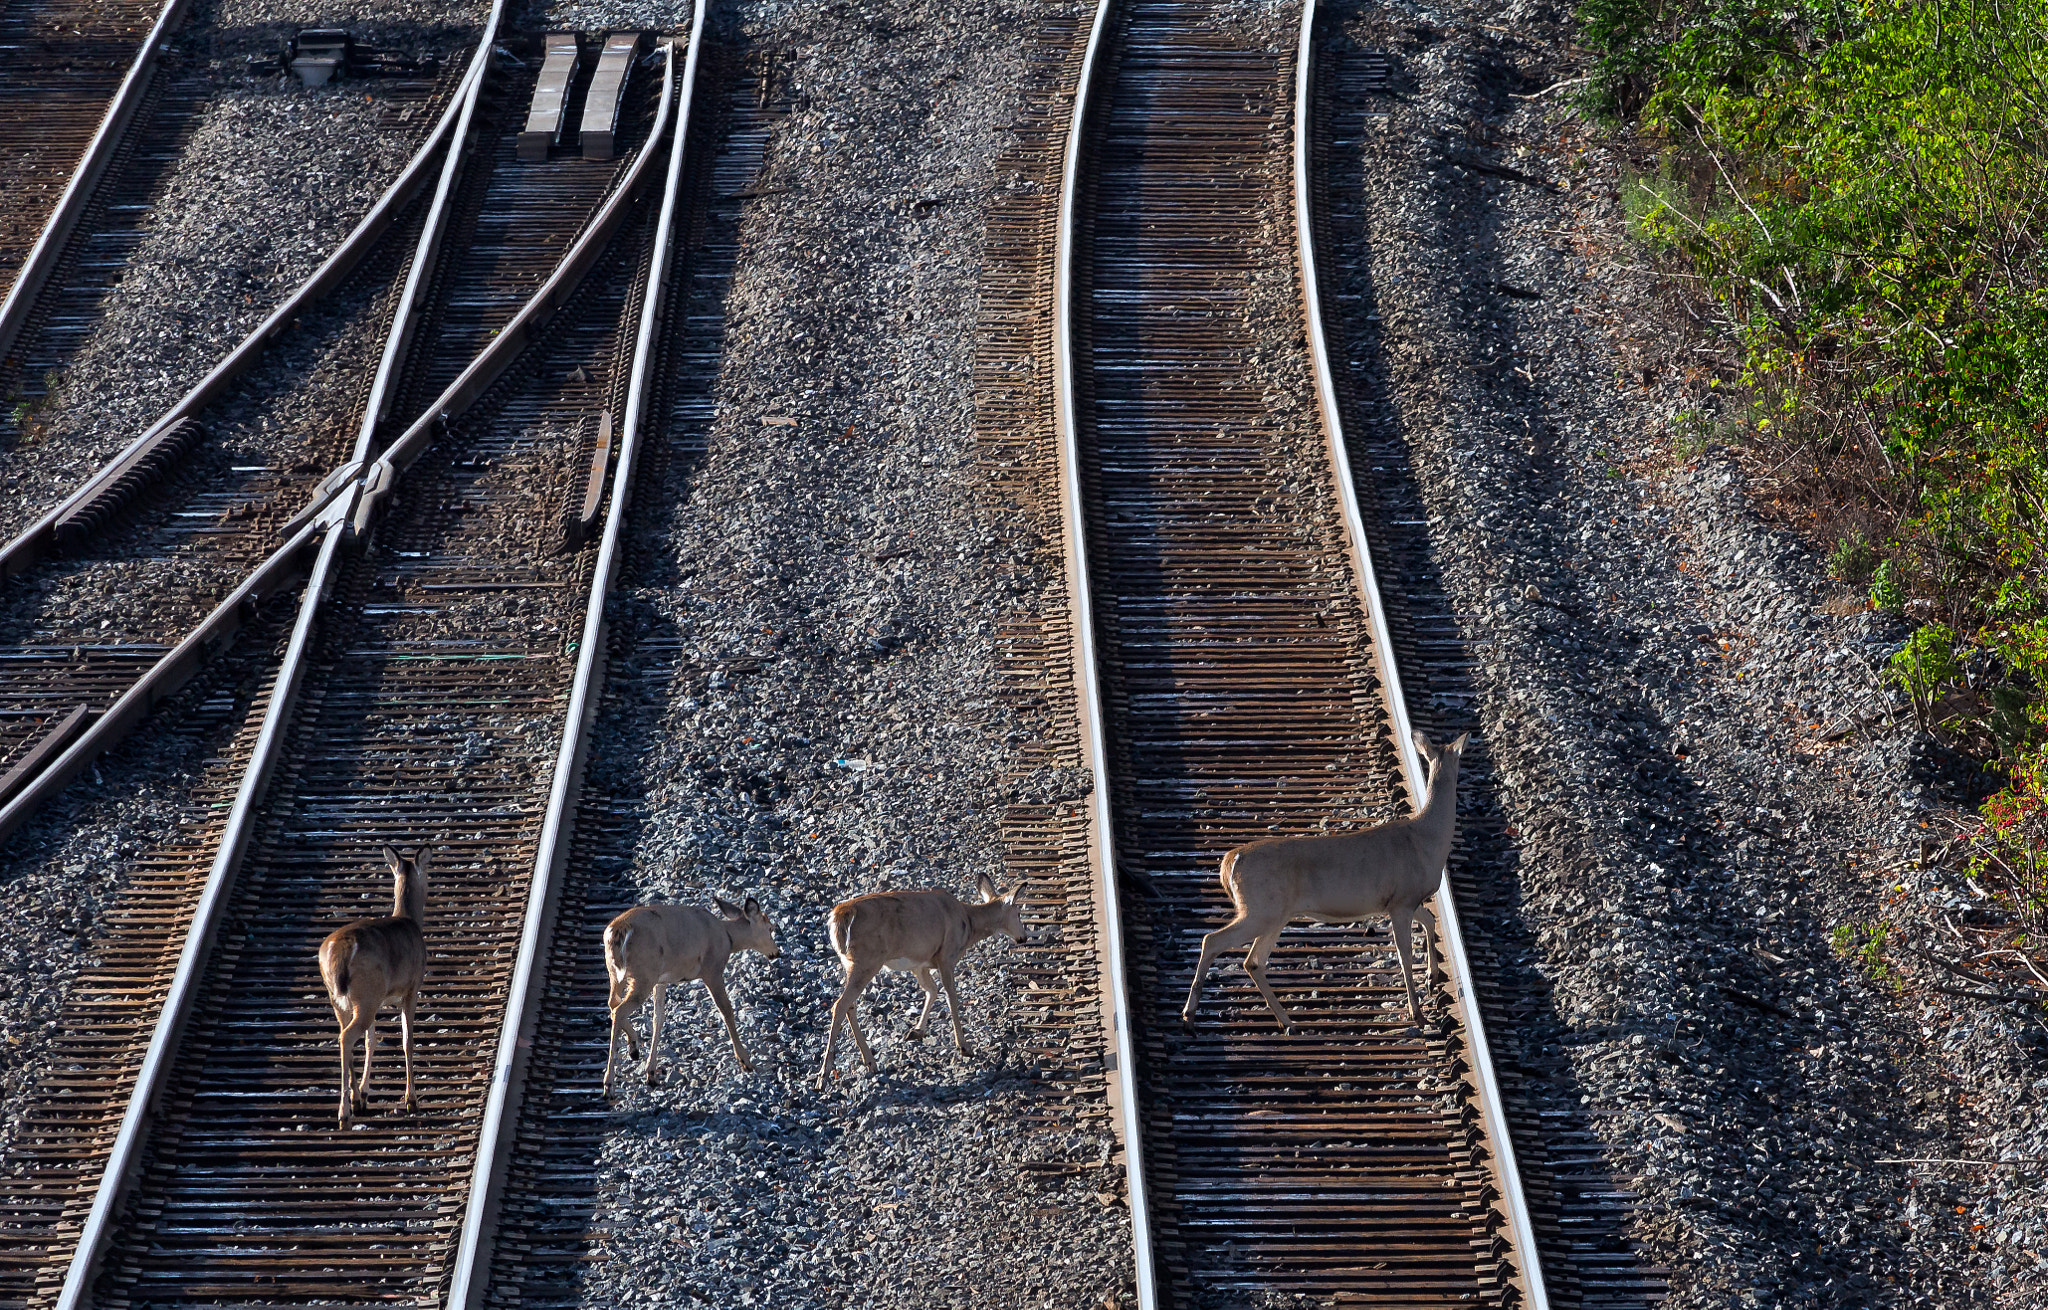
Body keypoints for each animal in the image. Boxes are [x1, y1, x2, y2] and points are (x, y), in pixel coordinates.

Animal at [318, 844, 429, 1128]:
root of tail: (338, 951)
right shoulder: (412, 986)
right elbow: (407, 1040)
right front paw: (412, 1100)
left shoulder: (380, 998)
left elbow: (372, 1040)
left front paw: (366, 1093)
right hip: (367, 992)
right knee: (346, 1036)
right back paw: (344, 1113)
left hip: (344, 997)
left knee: (345, 1035)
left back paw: (356, 1101)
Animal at [602, 895, 779, 1095]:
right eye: (770, 928)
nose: (776, 952)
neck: (727, 937)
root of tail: (617, 931)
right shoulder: (712, 969)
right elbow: (726, 1009)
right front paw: (745, 1061)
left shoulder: (661, 980)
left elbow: (658, 1018)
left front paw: (651, 1073)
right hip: (643, 973)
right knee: (619, 1010)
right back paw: (609, 1083)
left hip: (618, 973)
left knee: (613, 1004)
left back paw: (633, 1048)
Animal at [816, 873, 1026, 1089]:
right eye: (1019, 913)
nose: (1023, 937)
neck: (968, 923)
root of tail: (839, 915)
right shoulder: (946, 955)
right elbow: (951, 997)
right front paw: (964, 1046)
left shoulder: (920, 964)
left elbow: (932, 990)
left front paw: (916, 1031)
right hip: (868, 959)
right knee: (840, 1004)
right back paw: (824, 1076)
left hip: (850, 962)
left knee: (850, 1005)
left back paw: (871, 1063)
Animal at [1182, 730, 1469, 1032]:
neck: (1426, 839)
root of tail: (1231, 859)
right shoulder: (1400, 901)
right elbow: (1405, 956)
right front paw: (1419, 1014)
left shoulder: (1408, 900)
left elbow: (1430, 919)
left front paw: (1433, 977)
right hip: (1260, 909)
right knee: (1213, 940)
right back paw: (1189, 1016)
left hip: (1275, 914)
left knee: (1253, 962)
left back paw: (1287, 1022)